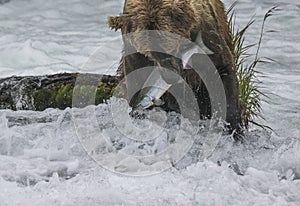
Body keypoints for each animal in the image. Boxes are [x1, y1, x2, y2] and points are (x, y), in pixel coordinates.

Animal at [107, 0, 241, 136]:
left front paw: (231, 127)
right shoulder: (133, 52)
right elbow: (136, 81)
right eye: (150, 55)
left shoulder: (208, 35)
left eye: (172, 47)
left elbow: (221, 74)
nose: (170, 77)